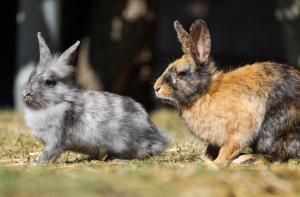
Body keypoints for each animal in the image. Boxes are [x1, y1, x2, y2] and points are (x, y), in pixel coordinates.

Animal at [23, 32, 169, 165]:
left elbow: (49, 153)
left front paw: (37, 165)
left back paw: (119, 160)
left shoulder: (56, 139)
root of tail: (159, 139)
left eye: (48, 82)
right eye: (30, 76)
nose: (27, 93)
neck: (57, 102)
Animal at [154, 19, 300, 165]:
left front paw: (216, 162)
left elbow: (229, 149)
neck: (205, 93)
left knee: (278, 155)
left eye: (182, 73)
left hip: (273, 130)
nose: (156, 88)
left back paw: (244, 159)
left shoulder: (238, 132)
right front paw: (207, 158)